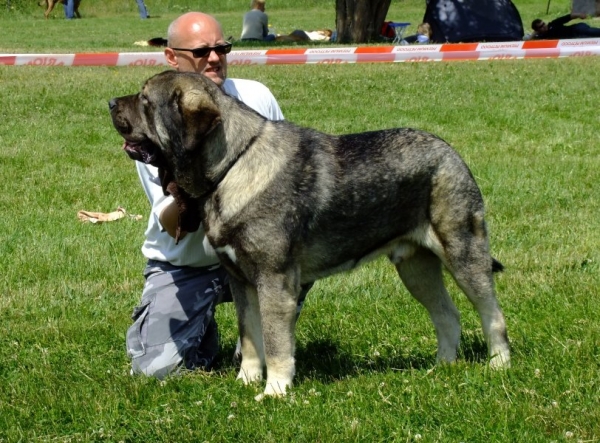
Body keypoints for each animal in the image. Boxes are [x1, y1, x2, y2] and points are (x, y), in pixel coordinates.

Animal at [109, 71, 510, 400]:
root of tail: (450, 152)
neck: (234, 163)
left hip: (463, 252)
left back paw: (499, 364)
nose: (111, 103)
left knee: (491, 312)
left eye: (145, 101)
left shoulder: (274, 282)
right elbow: (250, 337)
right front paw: (247, 381)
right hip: (416, 269)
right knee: (447, 315)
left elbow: (275, 342)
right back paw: (442, 366)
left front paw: (274, 390)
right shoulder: (242, 283)